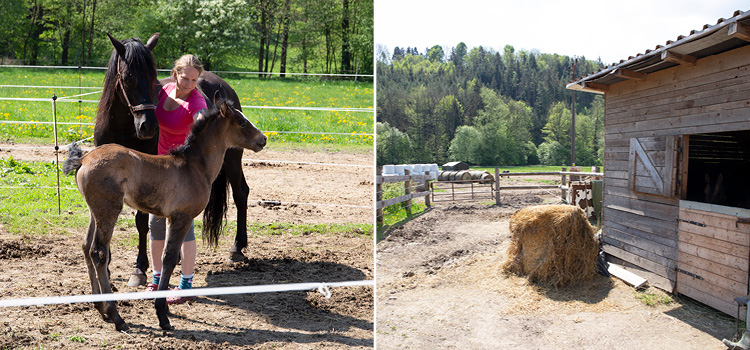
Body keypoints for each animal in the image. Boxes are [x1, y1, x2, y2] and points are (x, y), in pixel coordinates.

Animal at [97, 33, 254, 288]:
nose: (148, 126)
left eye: (153, 77)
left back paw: (237, 248)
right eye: (128, 78)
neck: (122, 127)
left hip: (232, 158)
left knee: (241, 193)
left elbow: (142, 222)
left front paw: (139, 269)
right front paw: (107, 268)